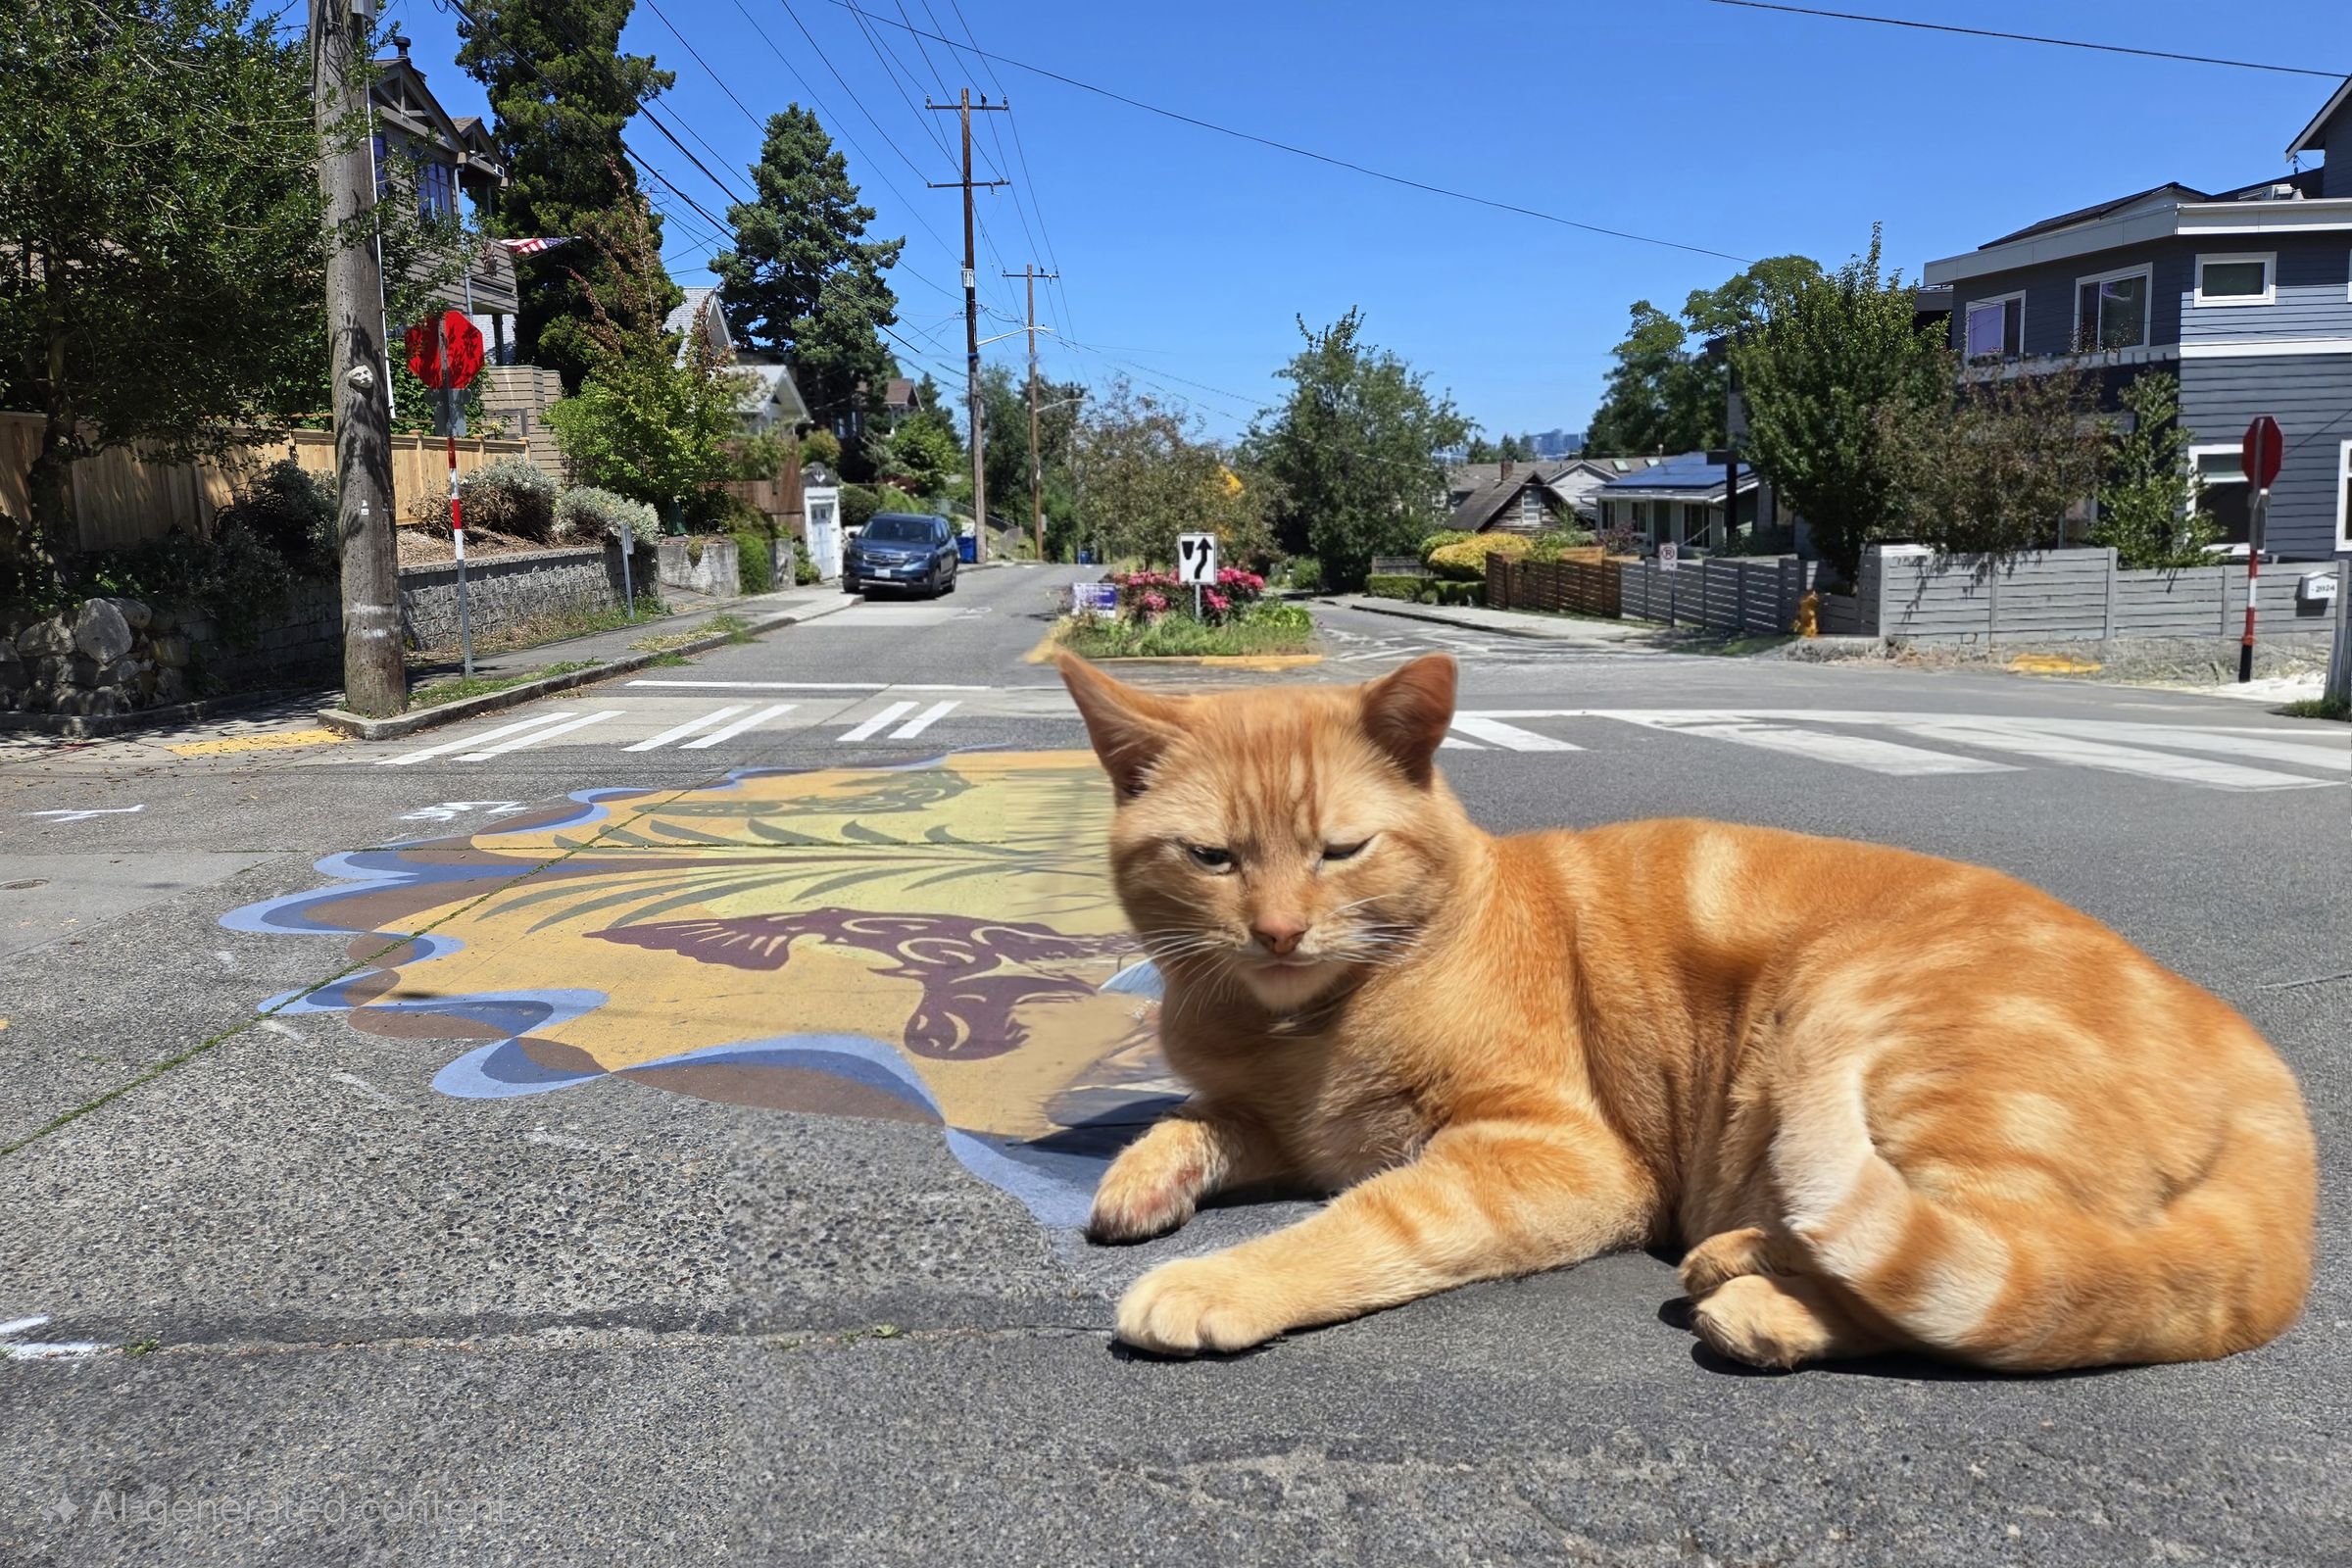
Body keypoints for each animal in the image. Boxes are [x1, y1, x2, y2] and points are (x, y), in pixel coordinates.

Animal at [1062, 658, 2314, 1363]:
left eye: (1340, 850)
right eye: (1214, 858)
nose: (1278, 933)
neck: (1296, 1032)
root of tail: (2254, 1054)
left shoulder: (1555, 1158)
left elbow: (1366, 1221)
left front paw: (1217, 1282)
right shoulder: (1285, 1123)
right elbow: (1190, 1116)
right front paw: (1142, 1175)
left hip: (1895, 1053)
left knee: (2034, 1276)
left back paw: (1762, 1302)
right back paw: (1743, 1255)